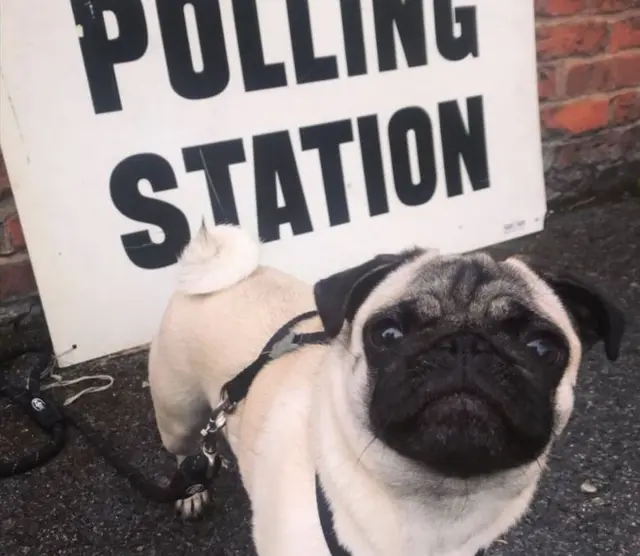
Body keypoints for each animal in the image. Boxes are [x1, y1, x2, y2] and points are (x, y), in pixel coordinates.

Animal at [149, 224, 624, 556]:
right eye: (388, 334)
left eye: (542, 347)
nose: (465, 345)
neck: (434, 501)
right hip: (179, 415)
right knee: (186, 451)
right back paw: (192, 491)